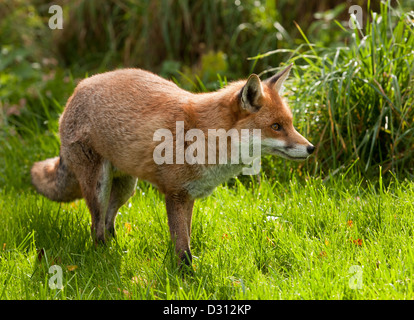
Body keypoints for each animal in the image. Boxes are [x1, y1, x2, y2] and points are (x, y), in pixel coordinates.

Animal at [31, 63, 314, 266]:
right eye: (276, 127)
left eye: (290, 124)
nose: (311, 148)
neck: (205, 138)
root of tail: (78, 88)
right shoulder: (175, 194)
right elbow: (182, 248)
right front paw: (187, 278)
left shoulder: (189, 196)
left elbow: (185, 238)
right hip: (99, 186)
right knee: (96, 228)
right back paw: (103, 258)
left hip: (126, 188)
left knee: (109, 223)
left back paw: (117, 249)